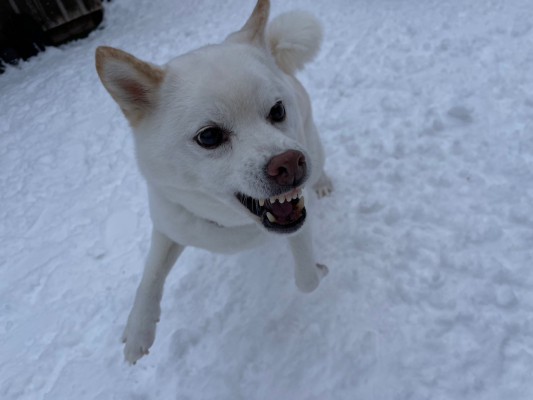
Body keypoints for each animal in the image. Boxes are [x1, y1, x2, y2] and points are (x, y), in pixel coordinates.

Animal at [94, 0, 328, 364]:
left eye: (277, 111)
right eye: (209, 137)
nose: (289, 164)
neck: (232, 226)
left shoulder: (297, 215)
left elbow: (307, 280)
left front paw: (317, 270)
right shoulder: (169, 224)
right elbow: (149, 277)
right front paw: (138, 331)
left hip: (313, 147)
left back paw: (324, 183)